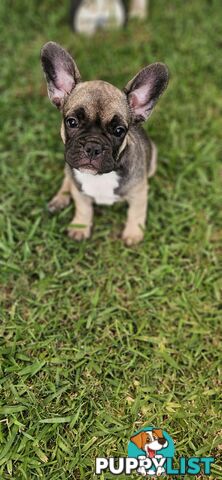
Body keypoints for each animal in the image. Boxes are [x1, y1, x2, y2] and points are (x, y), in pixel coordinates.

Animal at [40, 40, 168, 244]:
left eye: (119, 131)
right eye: (72, 122)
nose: (93, 146)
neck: (99, 176)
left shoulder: (139, 193)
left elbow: (136, 213)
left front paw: (133, 234)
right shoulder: (80, 192)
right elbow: (83, 208)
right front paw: (80, 226)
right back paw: (60, 199)